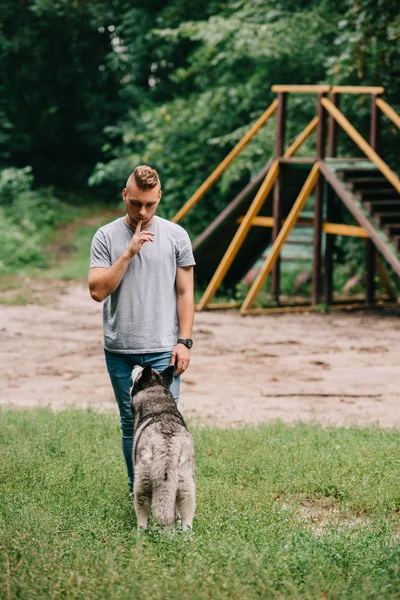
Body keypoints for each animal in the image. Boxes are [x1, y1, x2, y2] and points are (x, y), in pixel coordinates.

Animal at [130, 360, 195, 528]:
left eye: (138, 373)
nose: (135, 365)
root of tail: (167, 446)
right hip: (187, 487)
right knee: (186, 522)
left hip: (142, 486)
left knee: (142, 518)